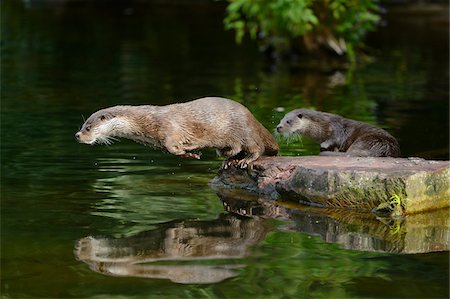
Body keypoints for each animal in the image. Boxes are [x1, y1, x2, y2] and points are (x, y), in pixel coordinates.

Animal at [75, 98, 278, 169]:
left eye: (88, 127)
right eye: (82, 125)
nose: (77, 135)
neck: (146, 122)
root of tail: (251, 117)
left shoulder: (170, 129)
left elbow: (172, 146)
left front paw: (191, 152)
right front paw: (190, 154)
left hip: (245, 131)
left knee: (257, 148)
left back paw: (245, 160)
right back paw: (229, 160)